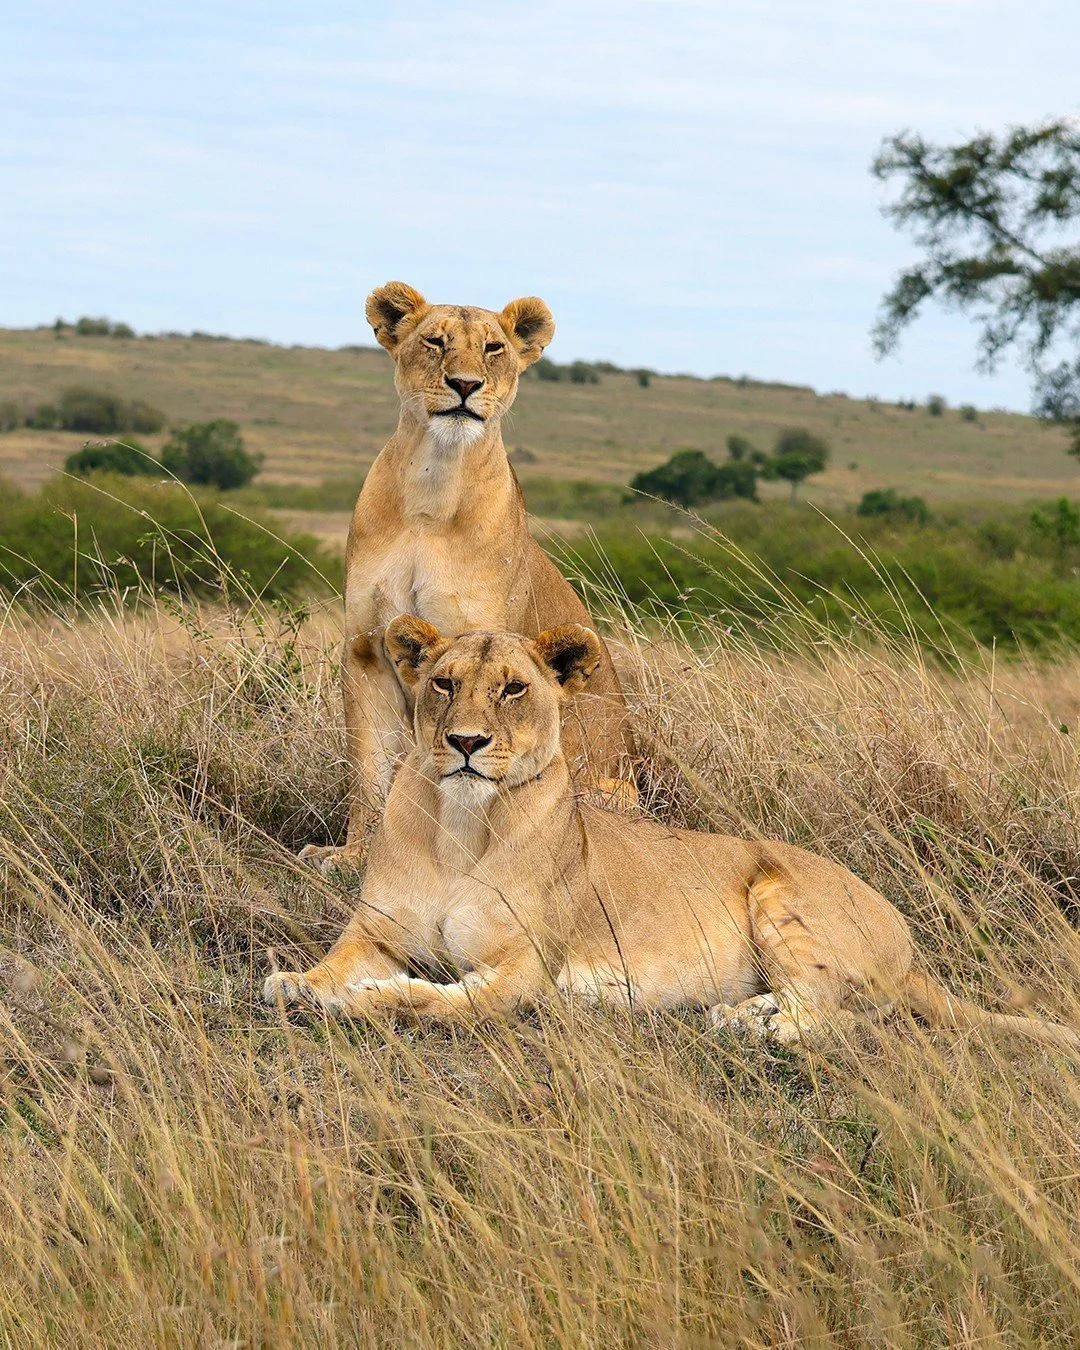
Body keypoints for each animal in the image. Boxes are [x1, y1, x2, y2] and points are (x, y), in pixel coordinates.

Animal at [266, 618, 1079, 1051]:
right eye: (443, 682)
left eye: (514, 689)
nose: (466, 742)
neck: (462, 825)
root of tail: (908, 941)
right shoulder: (375, 931)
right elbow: (326, 966)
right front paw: (299, 983)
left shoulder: (525, 969)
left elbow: (430, 1002)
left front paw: (362, 1000)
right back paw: (740, 1012)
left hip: (780, 894)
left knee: (829, 1018)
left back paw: (752, 1028)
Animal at [300, 282, 635, 874]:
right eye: (435, 342)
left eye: (493, 348)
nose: (464, 385)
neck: (434, 484)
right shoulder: (367, 651)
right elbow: (369, 770)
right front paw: (354, 854)